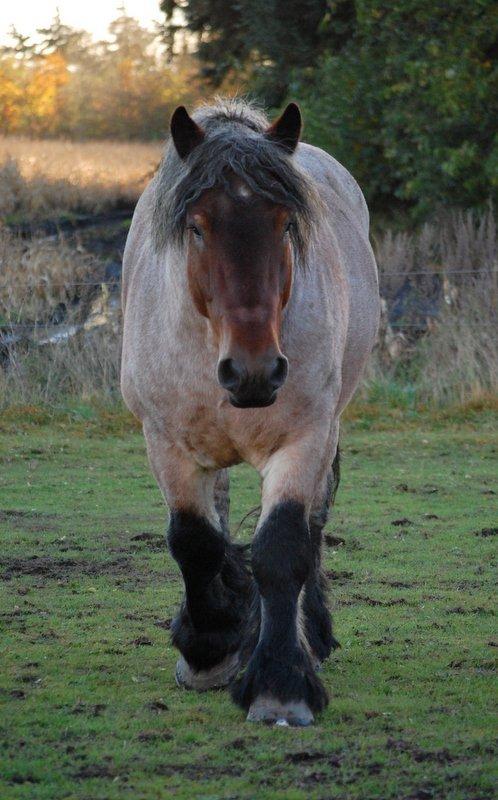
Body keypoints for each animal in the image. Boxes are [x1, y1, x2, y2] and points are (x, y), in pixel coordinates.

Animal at [122, 98, 380, 724]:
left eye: (286, 224)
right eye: (196, 227)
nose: (254, 371)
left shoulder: (305, 438)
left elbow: (283, 548)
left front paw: (280, 683)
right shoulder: (166, 443)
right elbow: (194, 542)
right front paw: (209, 645)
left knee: (313, 526)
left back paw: (314, 633)